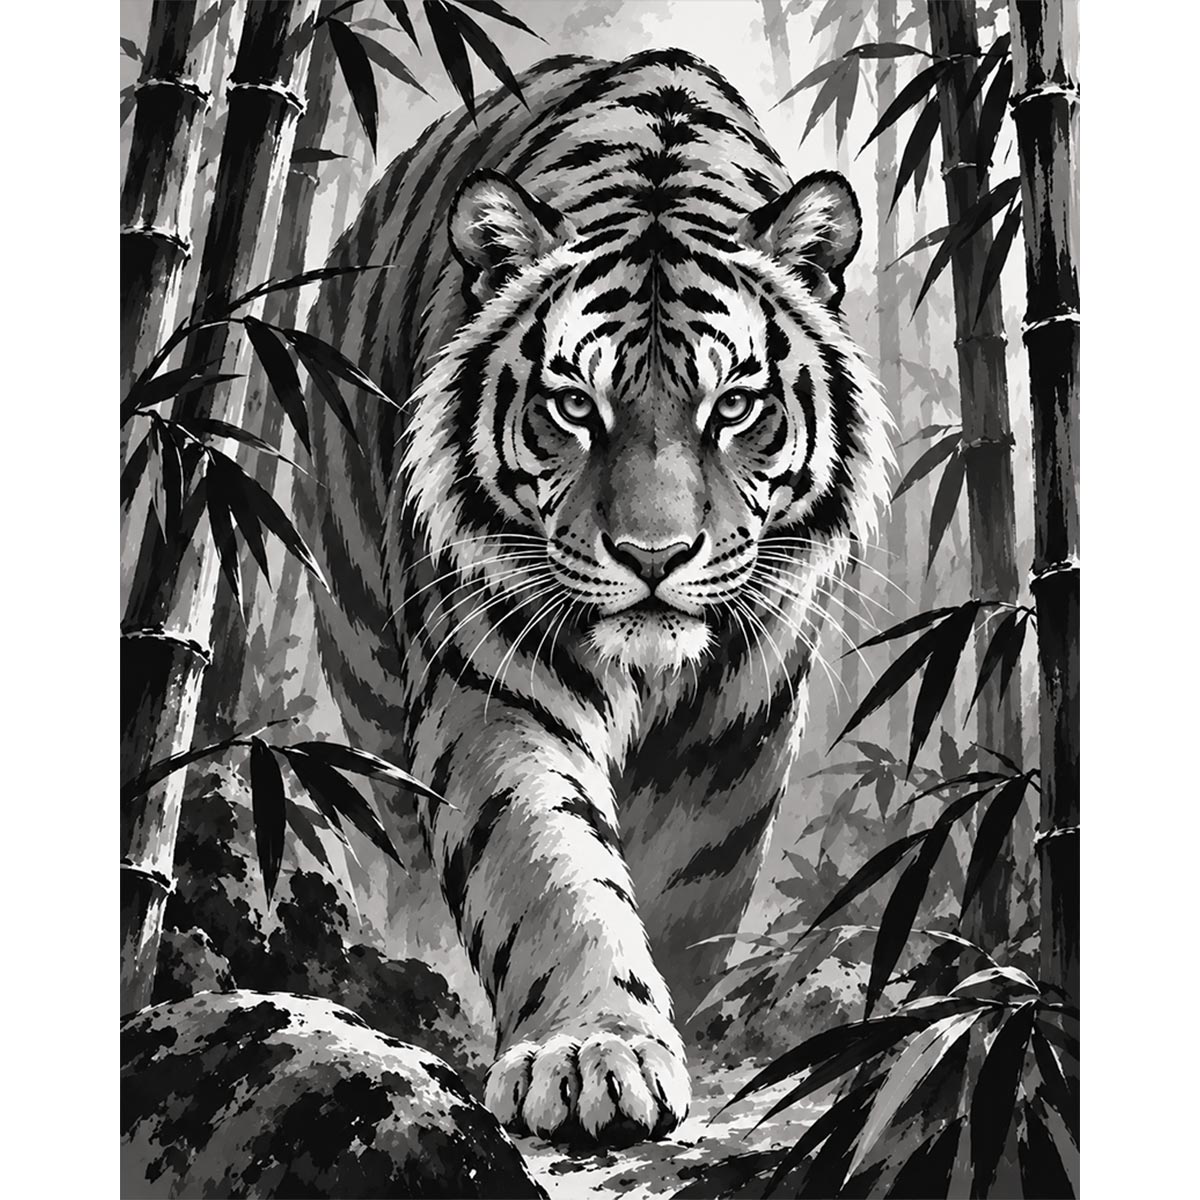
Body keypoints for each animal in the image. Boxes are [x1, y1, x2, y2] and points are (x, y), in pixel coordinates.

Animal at [303, 49, 891, 1145]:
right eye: (576, 406)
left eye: (733, 407)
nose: (652, 554)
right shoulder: (497, 687)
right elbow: (546, 869)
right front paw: (590, 1051)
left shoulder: (736, 733)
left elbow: (686, 892)